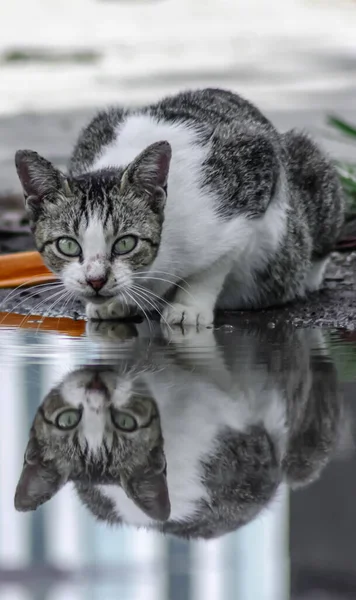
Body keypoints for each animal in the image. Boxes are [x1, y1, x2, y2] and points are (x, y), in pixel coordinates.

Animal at [13, 86, 344, 326]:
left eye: (125, 243)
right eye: (68, 245)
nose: (95, 280)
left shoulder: (255, 174)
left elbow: (214, 266)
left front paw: (188, 307)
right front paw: (115, 303)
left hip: (310, 168)